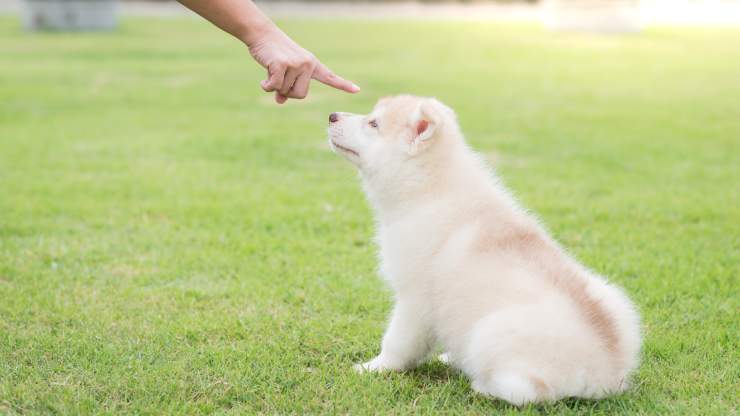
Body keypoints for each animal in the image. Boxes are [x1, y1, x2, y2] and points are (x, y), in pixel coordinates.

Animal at [326, 96, 640, 404]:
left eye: (373, 123)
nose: (332, 115)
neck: (429, 188)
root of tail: (607, 374)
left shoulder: (414, 300)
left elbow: (397, 343)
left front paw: (373, 367)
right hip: (615, 299)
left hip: (491, 331)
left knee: (530, 391)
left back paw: (482, 386)